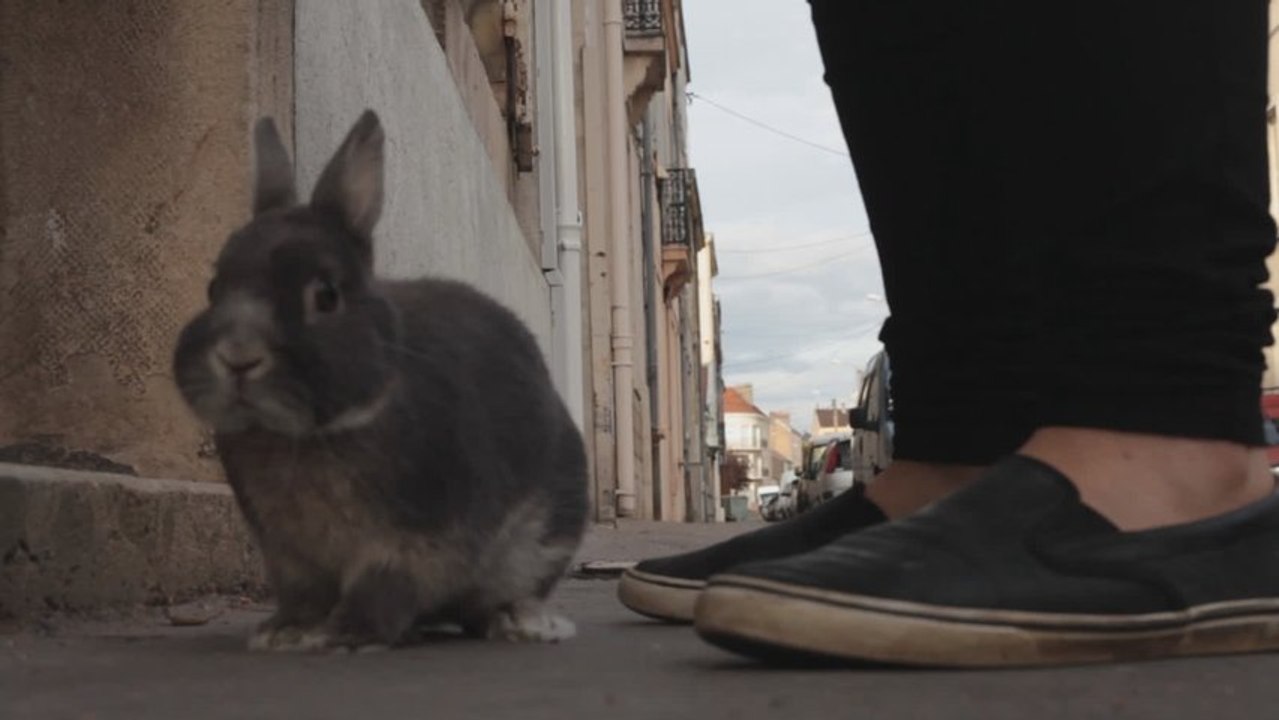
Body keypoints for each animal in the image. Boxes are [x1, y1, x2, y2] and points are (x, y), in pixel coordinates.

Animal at [172, 109, 589, 652]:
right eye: (213, 287)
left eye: (326, 296)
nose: (238, 357)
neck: (310, 434)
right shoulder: (288, 555)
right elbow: (302, 595)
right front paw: (285, 632)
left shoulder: (413, 542)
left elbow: (383, 587)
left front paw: (346, 635)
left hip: (539, 539)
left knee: (507, 594)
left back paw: (521, 624)